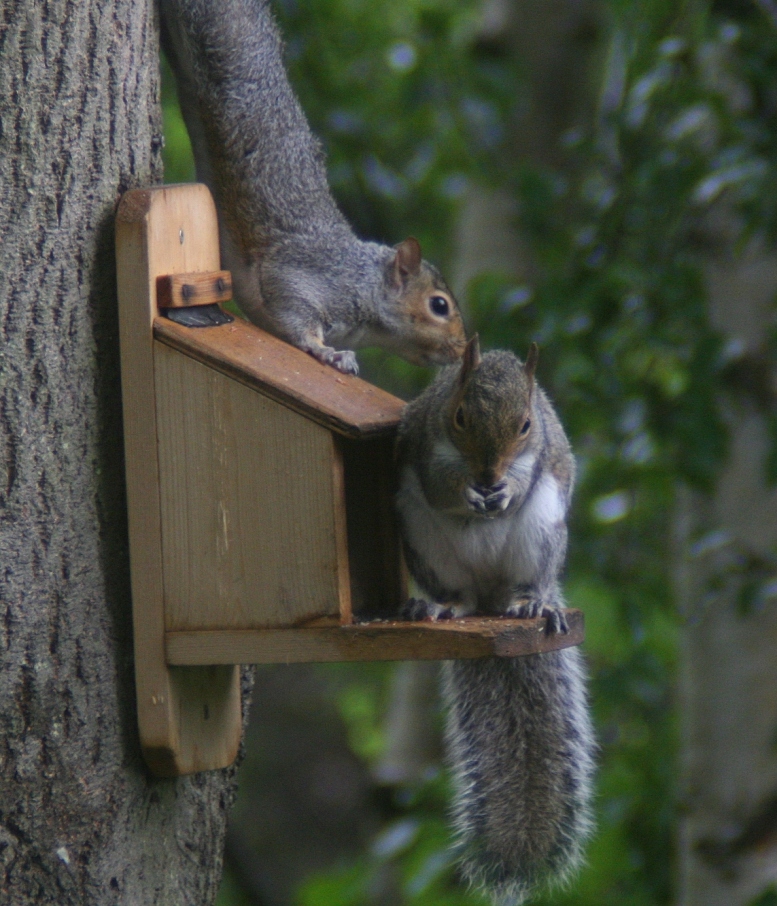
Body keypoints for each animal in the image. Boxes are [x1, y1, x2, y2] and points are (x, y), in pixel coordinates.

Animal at [156, 0, 460, 374]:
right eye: (439, 305)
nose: (463, 350)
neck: (362, 280)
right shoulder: (302, 276)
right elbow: (294, 315)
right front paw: (329, 352)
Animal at [394, 338, 596, 904]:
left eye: (526, 424)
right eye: (460, 416)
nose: (487, 477)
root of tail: (489, 598)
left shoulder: (540, 455)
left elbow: (527, 478)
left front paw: (503, 491)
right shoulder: (425, 443)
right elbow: (440, 481)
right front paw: (466, 490)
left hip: (541, 534)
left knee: (526, 582)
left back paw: (533, 604)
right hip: (423, 538)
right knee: (457, 593)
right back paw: (444, 607)